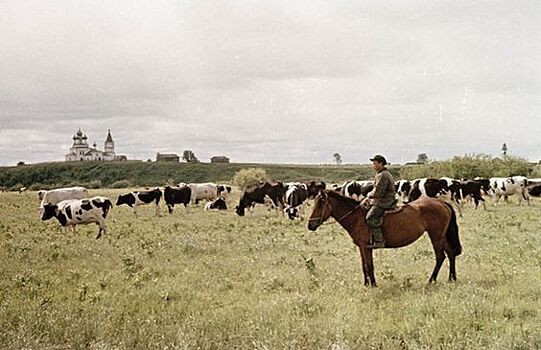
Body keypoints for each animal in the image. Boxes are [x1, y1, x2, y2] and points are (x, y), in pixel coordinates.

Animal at [306, 190, 462, 286]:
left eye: (320, 204)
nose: (310, 225)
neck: (356, 217)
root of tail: (442, 203)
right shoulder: (362, 248)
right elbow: (364, 265)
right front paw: (366, 284)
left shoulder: (366, 247)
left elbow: (369, 265)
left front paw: (373, 285)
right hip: (442, 235)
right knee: (450, 254)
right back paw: (452, 278)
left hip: (436, 235)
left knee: (440, 256)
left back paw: (431, 280)